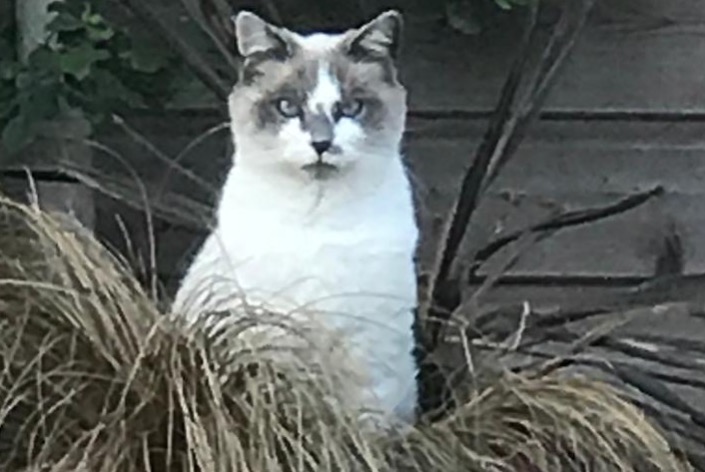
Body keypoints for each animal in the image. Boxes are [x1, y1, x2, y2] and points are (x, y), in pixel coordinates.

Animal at [171, 8, 420, 428]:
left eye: (350, 109)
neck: (316, 219)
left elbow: (365, 433)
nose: (321, 144)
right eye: (287, 107)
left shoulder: (370, 354)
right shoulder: (267, 344)